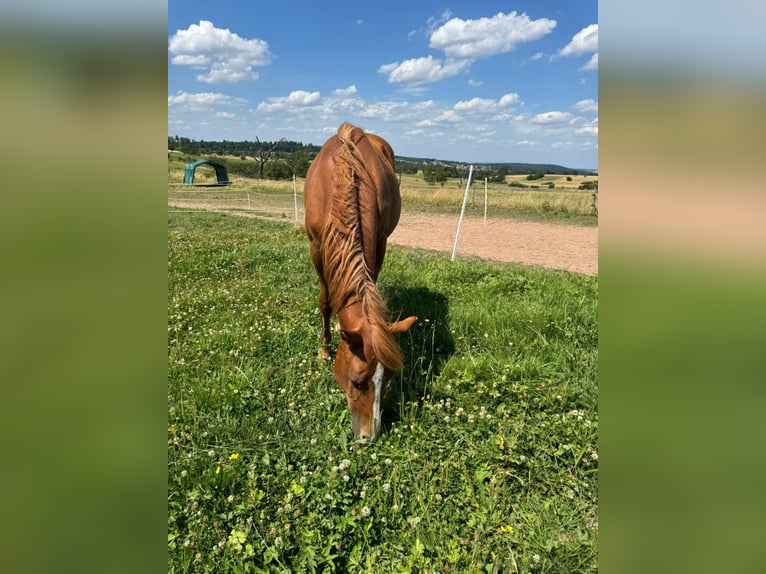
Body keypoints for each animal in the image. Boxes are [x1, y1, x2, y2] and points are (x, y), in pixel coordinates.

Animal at [304, 122, 417, 442]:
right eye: (355, 381)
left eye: (388, 379)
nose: (370, 436)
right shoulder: (316, 246)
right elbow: (325, 301)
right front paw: (324, 349)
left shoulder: (378, 242)